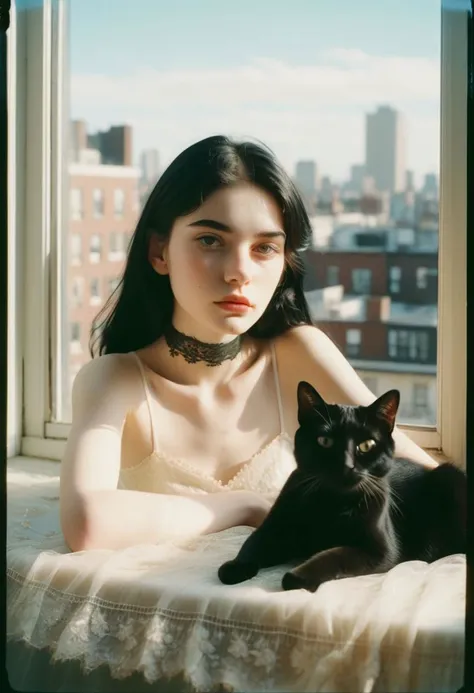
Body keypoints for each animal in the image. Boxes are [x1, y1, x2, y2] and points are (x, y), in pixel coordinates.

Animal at [218, 382, 466, 592]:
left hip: (449, 478)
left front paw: (297, 576)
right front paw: (233, 567)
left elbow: (332, 555)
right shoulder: (275, 527)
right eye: (325, 441)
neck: (331, 503)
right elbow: (253, 542)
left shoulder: (379, 551)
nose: (346, 465)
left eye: (366, 445)